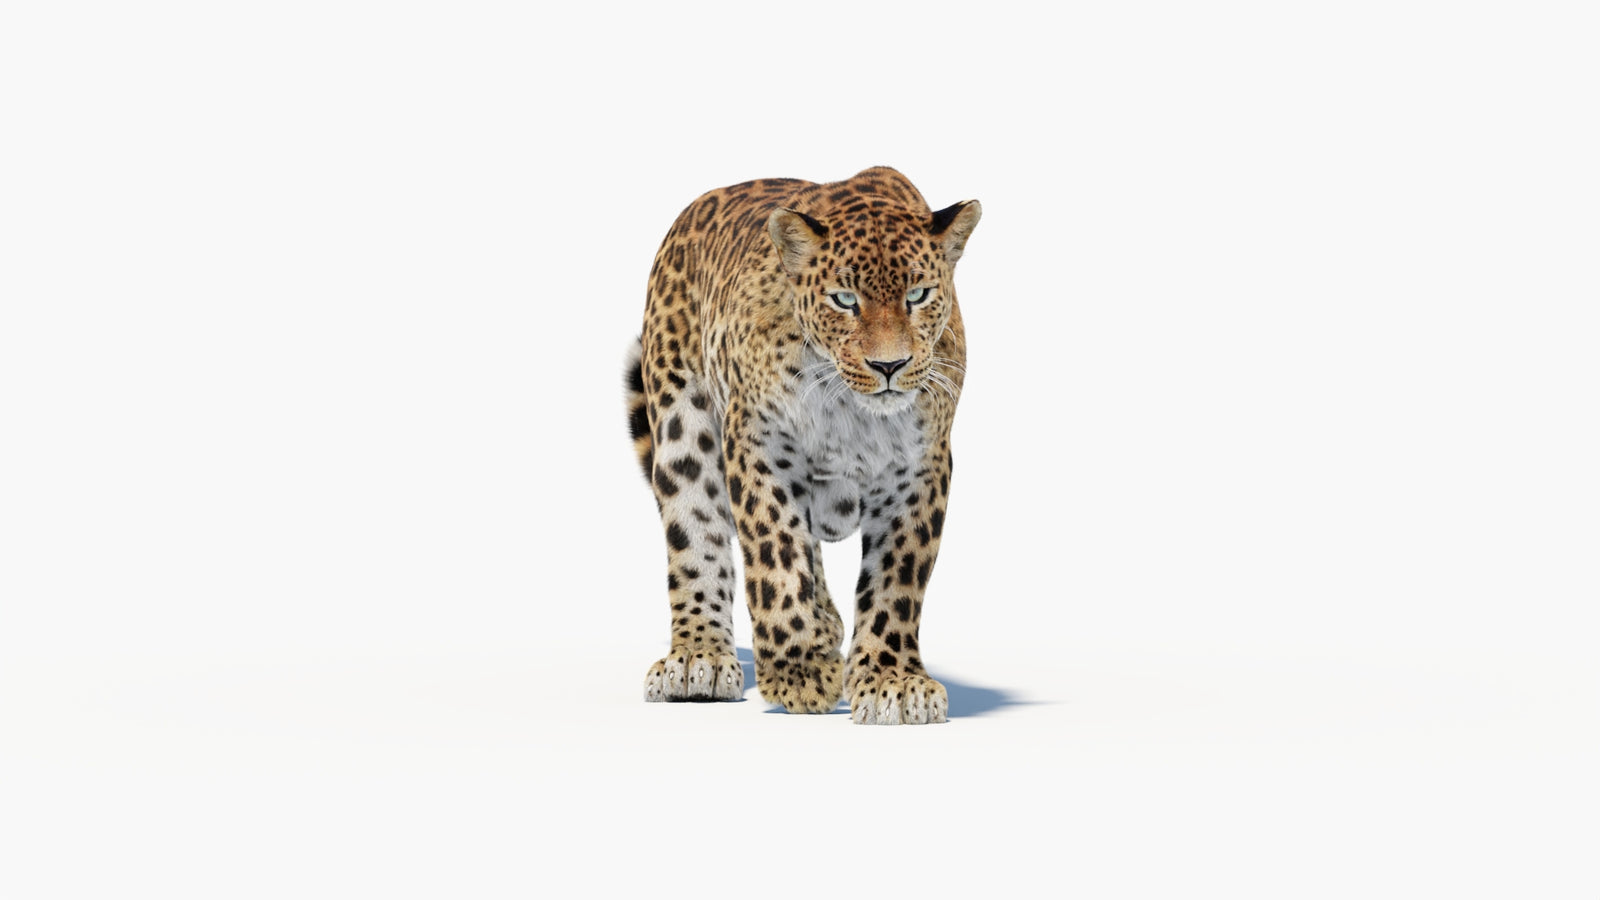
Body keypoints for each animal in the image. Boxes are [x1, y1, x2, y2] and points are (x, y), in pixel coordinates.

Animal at [624, 166, 980, 725]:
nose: (889, 366)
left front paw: (893, 682)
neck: (852, 409)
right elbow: (776, 555)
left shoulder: (920, 467)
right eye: (844, 300)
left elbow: (897, 580)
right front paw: (800, 673)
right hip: (682, 424)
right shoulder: (758, 442)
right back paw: (698, 658)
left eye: (919, 295)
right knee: (697, 537)